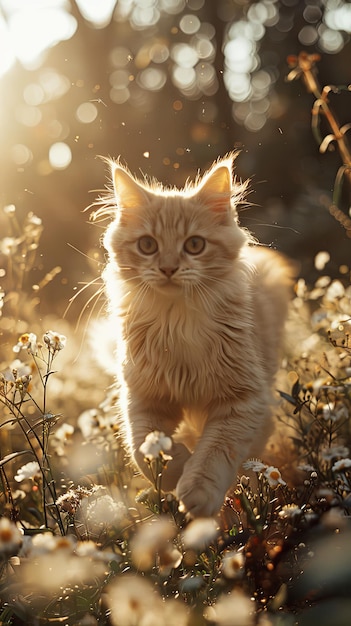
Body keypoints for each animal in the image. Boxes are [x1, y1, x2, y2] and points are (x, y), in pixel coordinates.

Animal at [97, 154, 292, 516]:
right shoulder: (143, 398)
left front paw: (197, 489)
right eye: (147, 245)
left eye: (194, 245)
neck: (177, 322)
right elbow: (143, 445)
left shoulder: (243, 400)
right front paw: (173, 472)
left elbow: (215, 451)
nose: (168, 268)